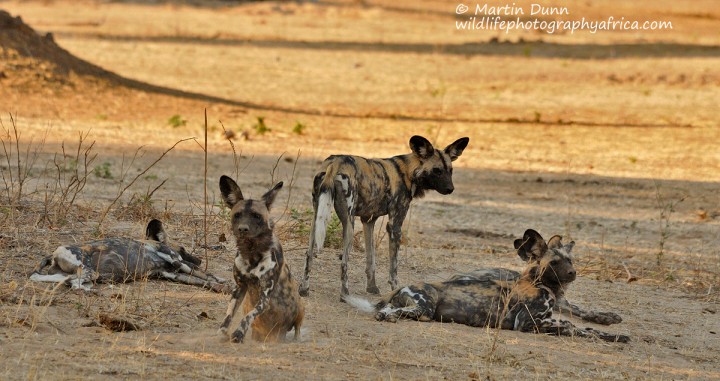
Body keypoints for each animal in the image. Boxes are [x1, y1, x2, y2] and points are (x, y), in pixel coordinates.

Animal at [29, 218, 226, 292]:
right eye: (184, 248)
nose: (199, 259)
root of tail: (54, 253)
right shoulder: (175, 260)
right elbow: (206, 275)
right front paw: (223, 283)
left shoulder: (171, 273)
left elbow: (202, 280)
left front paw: (219, 287)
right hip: (89, 270)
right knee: (73, 283)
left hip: (73, 274)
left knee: (66, 281)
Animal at [215, 177, 302, 342]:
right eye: (237, 215)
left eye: (257, 216)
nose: (243, 229)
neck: (251, 253)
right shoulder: (239, 288)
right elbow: (228, 315)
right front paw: (223, 332)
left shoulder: (265, 297)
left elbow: (248, 316)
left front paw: (239, 333)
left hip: (301, 306)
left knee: (297, 329)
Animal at [300, 134, 470, 296]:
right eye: (437, 170)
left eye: (450, 170)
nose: (450, 189)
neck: (408, 171)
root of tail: (335, 162)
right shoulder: (395, 226)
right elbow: (393, 268)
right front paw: (396, 289)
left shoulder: (368, 221)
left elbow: (371, 261)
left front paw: (372, 288)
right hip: (349, 224)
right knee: (344, 262)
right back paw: (344, 294)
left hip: (316, 219)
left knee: (309, 255)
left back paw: (304, 289)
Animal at [346, 230, 628, 342]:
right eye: (555, 262)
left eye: (570, 260)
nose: (573, 273)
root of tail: (400, 286)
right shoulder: (528, 324)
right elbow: (572, 327)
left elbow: (584, 328)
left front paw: (614, 335)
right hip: (423, 309)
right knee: (388, 313)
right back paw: (389, 318)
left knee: (387, 311)